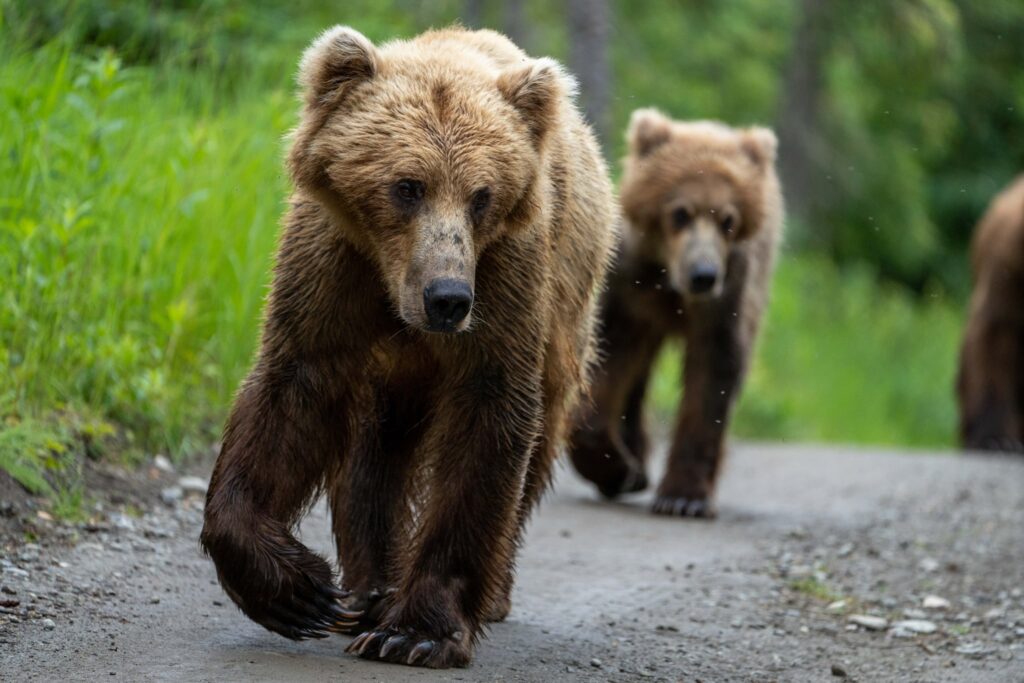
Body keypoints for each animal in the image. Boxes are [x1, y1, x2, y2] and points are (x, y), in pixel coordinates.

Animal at [199, 26, 615, 668]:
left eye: (481, 195)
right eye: (407, 186)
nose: (447, 298)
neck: (393, 282)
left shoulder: (506, 275)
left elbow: (489, 422)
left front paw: (418, 632)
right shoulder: (334, 261)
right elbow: (292, 390)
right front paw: (299, 592)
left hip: (567, 305)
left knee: (540, 437)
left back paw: (484, 595)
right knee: (375, 454)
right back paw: (369, 588)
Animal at [568, 109, 783, 518]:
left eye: (728, 219)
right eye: (680, 213)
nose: (703, 274)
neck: (671, 284)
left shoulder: (725, 301)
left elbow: (712, 381)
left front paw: (683, 497)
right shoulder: (630, 289)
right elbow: (607, 362)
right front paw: (617, 470)